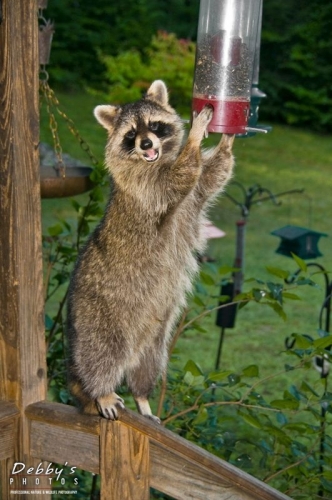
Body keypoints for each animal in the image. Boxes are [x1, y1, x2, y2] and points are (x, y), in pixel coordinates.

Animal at [66, 81, 235, 422]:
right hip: (98, 316)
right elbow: (179, 177)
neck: (153, 160)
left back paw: (142, 398)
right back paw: (100, 389)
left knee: (148, 364)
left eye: (154, 126)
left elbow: (210, 176)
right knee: (101, 354)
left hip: (155, 336)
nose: (146, 144)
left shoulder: (194, 195)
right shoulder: (144, 187)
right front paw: (196, 134)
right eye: (131, 134)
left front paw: (227, 140)